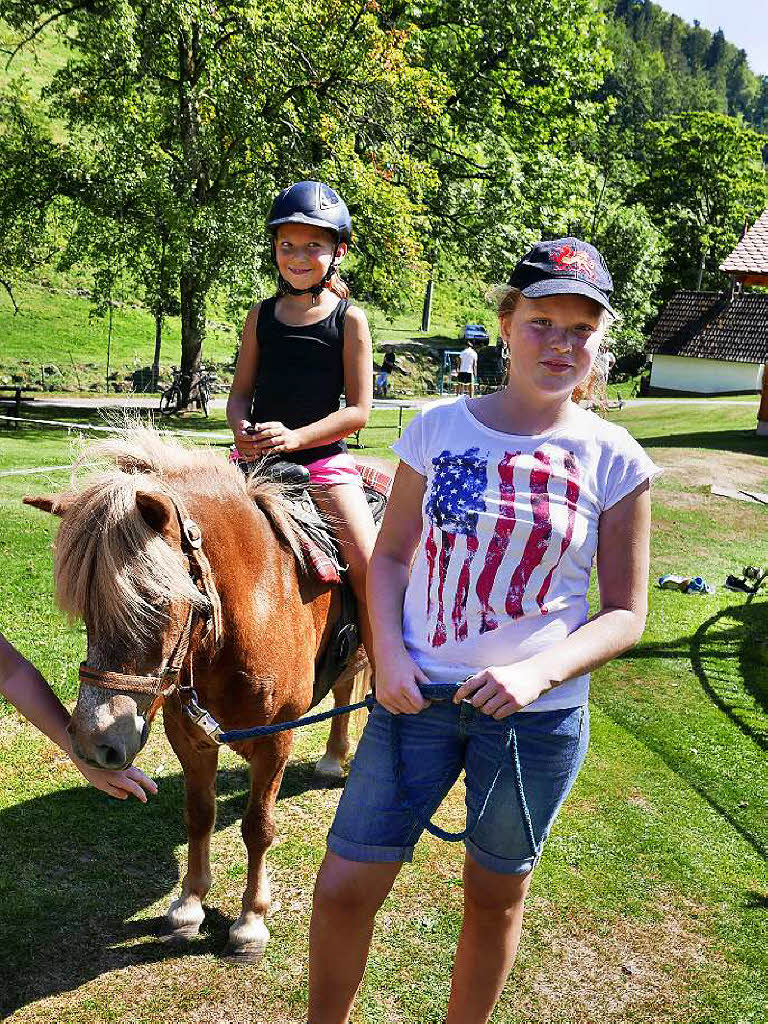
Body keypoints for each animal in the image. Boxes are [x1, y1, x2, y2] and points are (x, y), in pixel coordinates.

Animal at [28, 425, 376, 958]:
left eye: (157, 601)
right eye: (85, 605)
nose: (93, 743)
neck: (255, 608)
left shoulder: (277, 739)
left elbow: (258, 826)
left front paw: (251, 920)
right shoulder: (189, 736)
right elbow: (199, 815)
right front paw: (190, 904)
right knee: (342, 693)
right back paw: (335, 757)